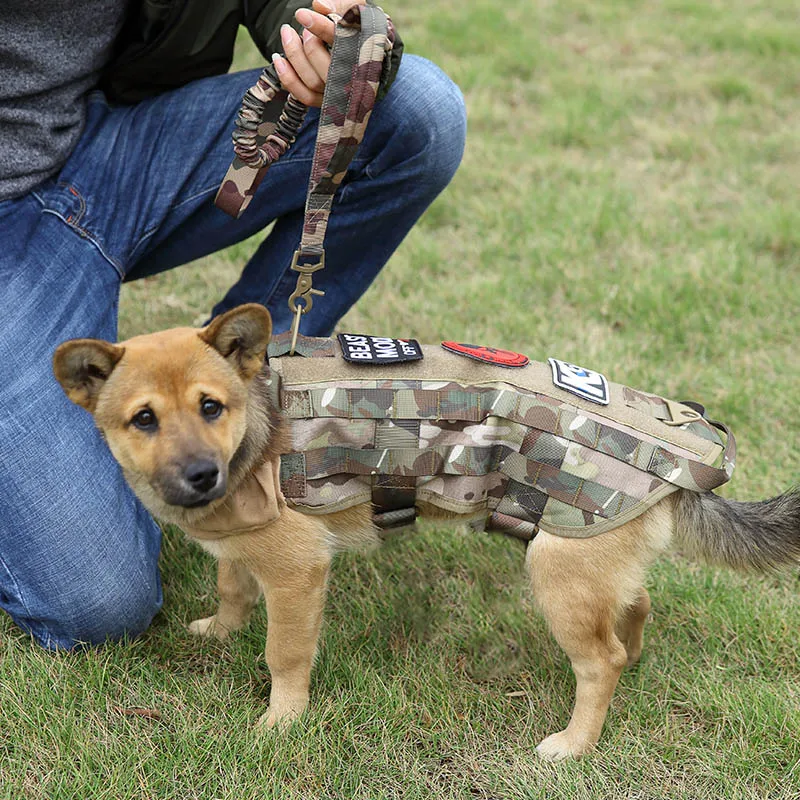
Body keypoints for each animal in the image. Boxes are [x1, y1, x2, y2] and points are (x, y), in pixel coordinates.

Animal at [53, 304, 800, 760]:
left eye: (211, 407)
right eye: (144, 419)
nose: (202, 475)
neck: (256, 430)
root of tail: (688, 463)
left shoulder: (297, 573)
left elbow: (284, 655)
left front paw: (281, 721)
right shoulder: (241, 549)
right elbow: (233, 588)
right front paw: (220, 629)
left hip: (557, 578)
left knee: (601, 661)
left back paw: (574, 745)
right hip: (582, 557)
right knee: (634, 606)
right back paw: (635, 660)